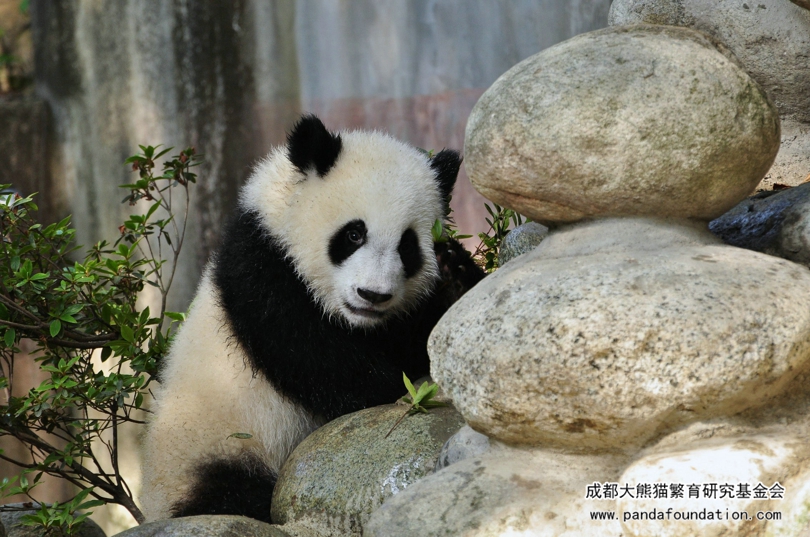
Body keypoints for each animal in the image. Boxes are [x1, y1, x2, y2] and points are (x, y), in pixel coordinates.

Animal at [140, 115, 484, 523]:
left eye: (408, 246)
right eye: (354, 234)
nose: (373, 295)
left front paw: (453, 274)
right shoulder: (264, 271)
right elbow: (324, 365)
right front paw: (389, 385)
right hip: (212, 449)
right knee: (231, 495)